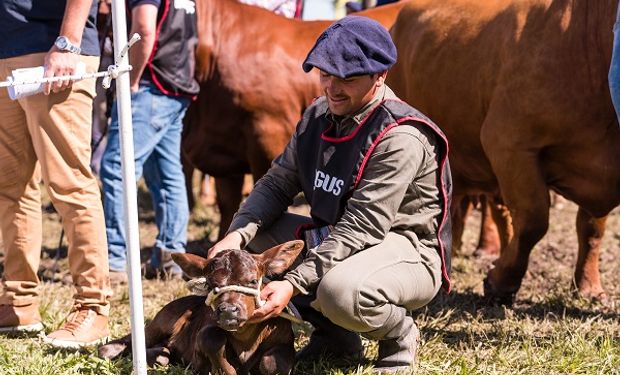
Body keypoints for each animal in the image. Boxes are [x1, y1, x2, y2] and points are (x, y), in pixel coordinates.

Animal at [98, 241, 306, 375]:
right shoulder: (199, 357)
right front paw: (226, 370)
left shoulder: (285, 341)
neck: (245, 338)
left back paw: (161, 356)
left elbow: (273, 362)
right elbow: (210, 336)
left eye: (253, 281)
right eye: (211, 284)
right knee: (125, 343)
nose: (228, 310)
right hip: (162, 320)